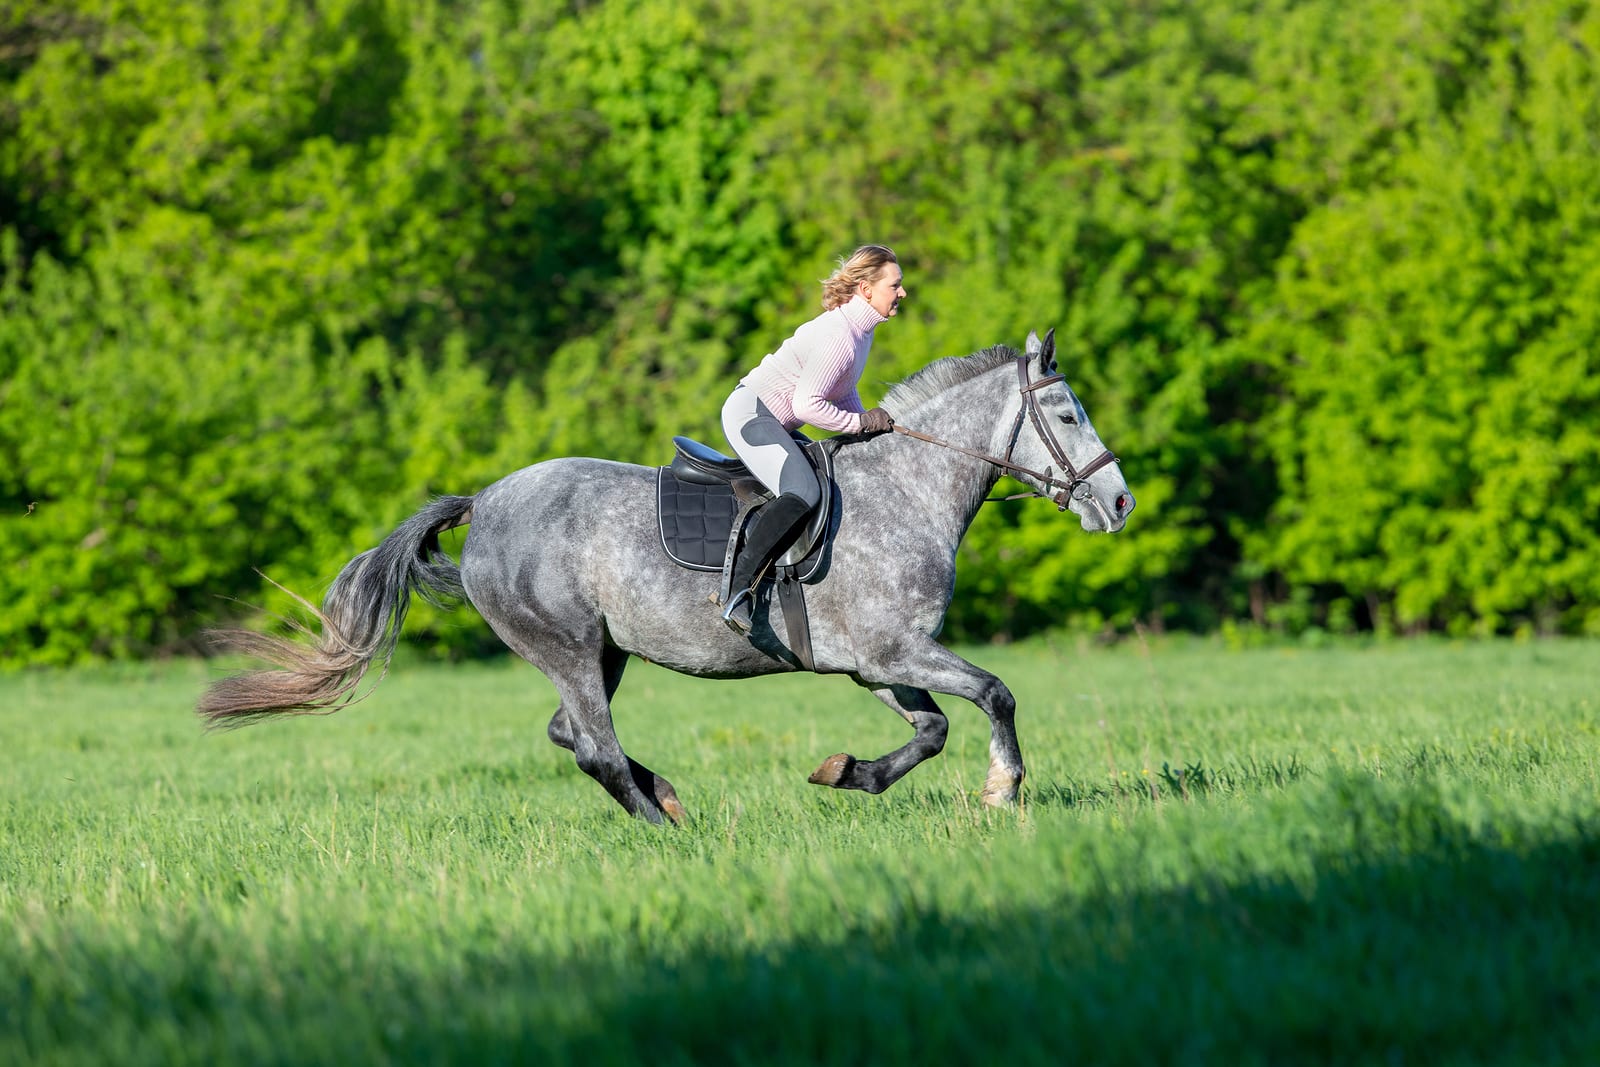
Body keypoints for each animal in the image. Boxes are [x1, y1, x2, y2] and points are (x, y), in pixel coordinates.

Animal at [193, 329, 1132, 825]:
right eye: (1065, 411)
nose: (1120, 501)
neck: (905, 489)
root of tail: (485, 501)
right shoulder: (893, 651)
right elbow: (997, 693)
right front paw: (1003, 788)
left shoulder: (875, 663)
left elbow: (933, 728)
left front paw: (847, 773)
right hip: (570, 647)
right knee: (595, 747)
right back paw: (667, 825)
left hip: (602, 652)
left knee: (570, 735)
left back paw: (668, 797)